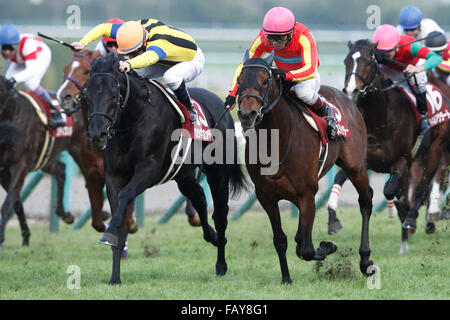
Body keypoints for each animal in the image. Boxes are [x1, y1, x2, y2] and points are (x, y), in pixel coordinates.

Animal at [84, 53, 246, 284]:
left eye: (114, 94)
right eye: (87, 94)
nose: (97, 136)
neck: (134, 118)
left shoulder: (148, 169)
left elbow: (125, 196)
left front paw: (108, 233)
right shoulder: (114, 176)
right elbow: (119, 216)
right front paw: (115, 277)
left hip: (218, 174)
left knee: (221, 214)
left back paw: (221, 264)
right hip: (184, 176)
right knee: (199, 199)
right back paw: (212, 237)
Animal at [237, 52, 374, 284]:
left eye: (264, 81)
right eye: (239, 80)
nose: (248, 114)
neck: (276, 142)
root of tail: (346, 97)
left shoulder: (307, 194)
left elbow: (307, 250)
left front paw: (327, 246)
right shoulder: (266, 196)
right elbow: (281, 240)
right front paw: (286, 278)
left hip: (355, 166)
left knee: (365, 200)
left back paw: (365, 261)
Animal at [342, 40, 448, 254]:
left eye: (368, 62)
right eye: (346, 61)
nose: (351, 91)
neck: (380, 119)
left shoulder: (401, 160)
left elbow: (391, 190)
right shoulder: (363, 161)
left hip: (434, 149)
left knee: (422, 186)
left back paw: (412, 220)